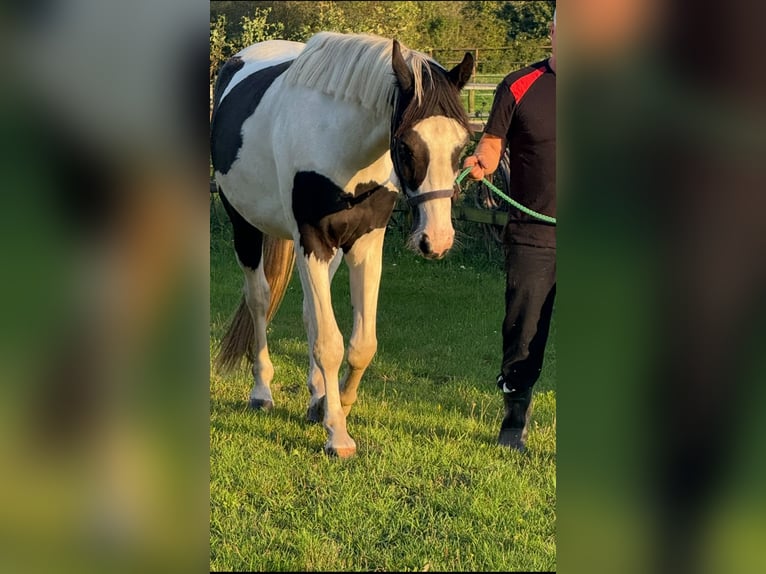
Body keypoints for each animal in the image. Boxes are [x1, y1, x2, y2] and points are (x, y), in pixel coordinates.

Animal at [210, 31, 474, 458]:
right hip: (245, 226)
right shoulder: (311, 239)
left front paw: (336, 405)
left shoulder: (365, 242)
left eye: (462, 145)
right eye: (404, 145)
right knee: (260, 301)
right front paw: (338, 433)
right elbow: (330, 343)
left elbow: (360, 342)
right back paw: (262, 391)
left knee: (308, 314)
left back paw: (316, 394)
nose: (436, 241)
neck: (340, 143)